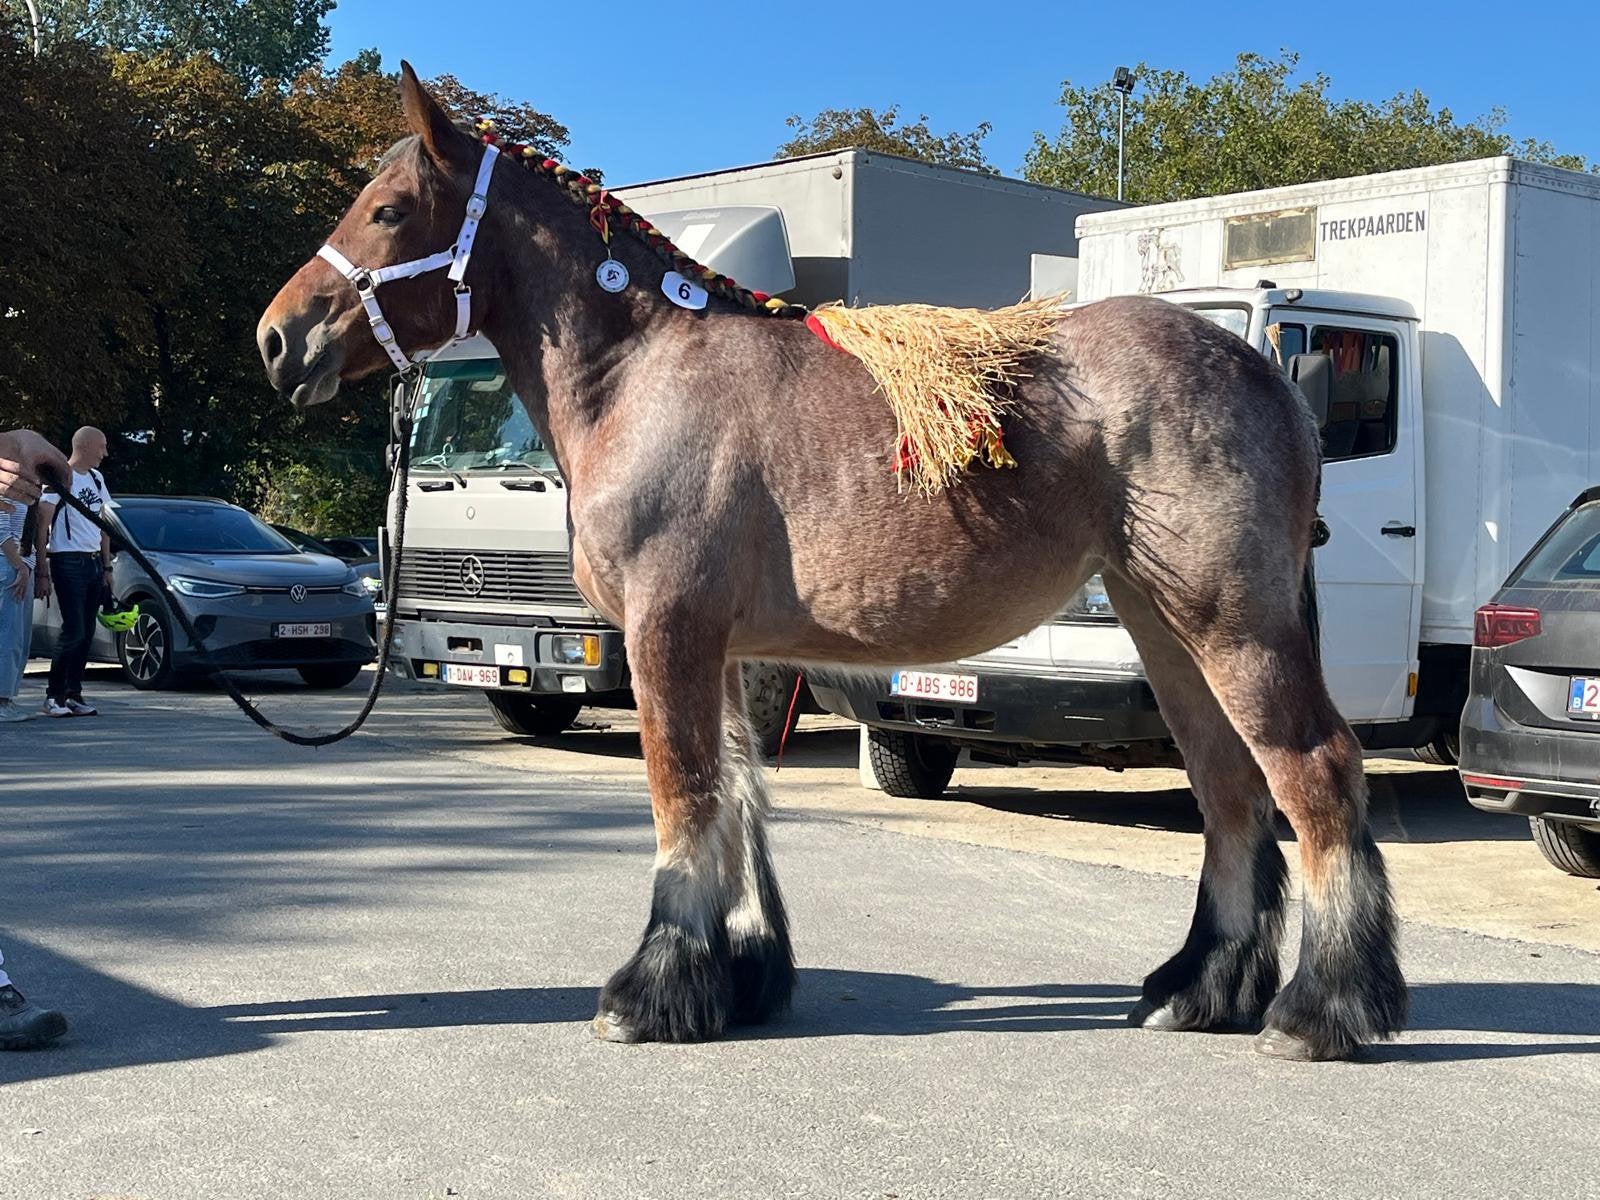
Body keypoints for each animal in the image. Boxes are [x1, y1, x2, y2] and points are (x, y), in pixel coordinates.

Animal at [257, 64, 1407, 1060]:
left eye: (390, 210)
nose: (277, 338)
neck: (644, 375)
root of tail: (1268, 372)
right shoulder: (723, 650)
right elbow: (738, 798)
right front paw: (739, 976)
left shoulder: (666, 633)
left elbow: (683, 795)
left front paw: (652, 989)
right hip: (1163, 625)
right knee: (1230, 790)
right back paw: (1201, 989)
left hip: (1229, 624)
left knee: (1313, 771)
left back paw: (1320, 1010)